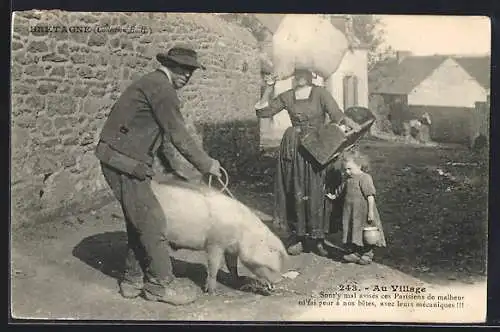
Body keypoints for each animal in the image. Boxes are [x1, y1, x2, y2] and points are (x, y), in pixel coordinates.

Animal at [149, 176, 290, 294]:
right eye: (272, 252)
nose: (279, 280)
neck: (243, 234)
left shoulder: (231, 250)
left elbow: (232, 266)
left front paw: (238, 281)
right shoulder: (214, 243)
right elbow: (213, 266)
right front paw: (212, 292)